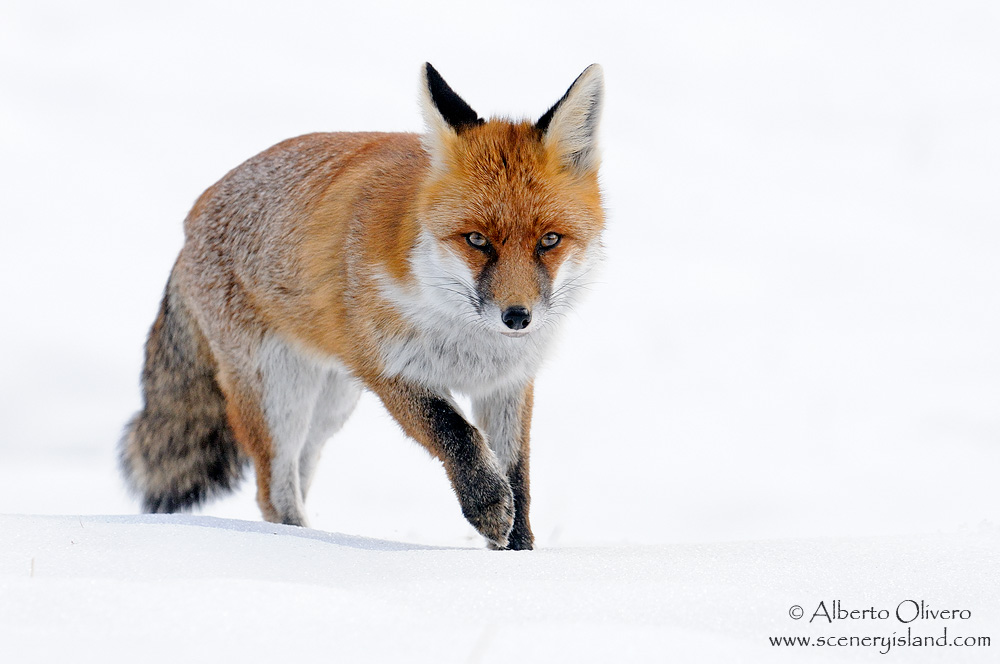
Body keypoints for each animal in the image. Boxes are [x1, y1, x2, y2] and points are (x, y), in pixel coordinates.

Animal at [120, 63, 605, 550]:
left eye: (549, 240)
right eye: (477, 240)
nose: (517, 317)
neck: (465, 337)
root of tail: (192, 217)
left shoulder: (508, 383)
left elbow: (517, 477)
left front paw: (517, 553)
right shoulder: (390, 369)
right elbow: (458, 435)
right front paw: (487, 507)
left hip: (329, 405)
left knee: (293, 480)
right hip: (280, 391)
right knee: (273, 492)